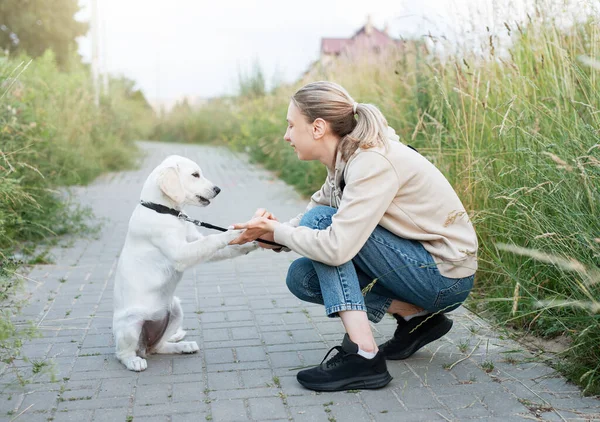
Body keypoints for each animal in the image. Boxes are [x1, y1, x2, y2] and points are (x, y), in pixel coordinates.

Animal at [112, 154, 255, 370]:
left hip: (175, 310)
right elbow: (212, 239)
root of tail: (145, 345)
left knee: (159, 347)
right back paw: (134, 361)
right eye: (195, 175)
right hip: (131, 325)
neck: (163, 211)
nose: (218, 189)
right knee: (123, 353)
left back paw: (183, 346)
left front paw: (255, 241)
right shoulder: (182, 253)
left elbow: (223, 247)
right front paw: (236, 231)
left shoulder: (194, 242)